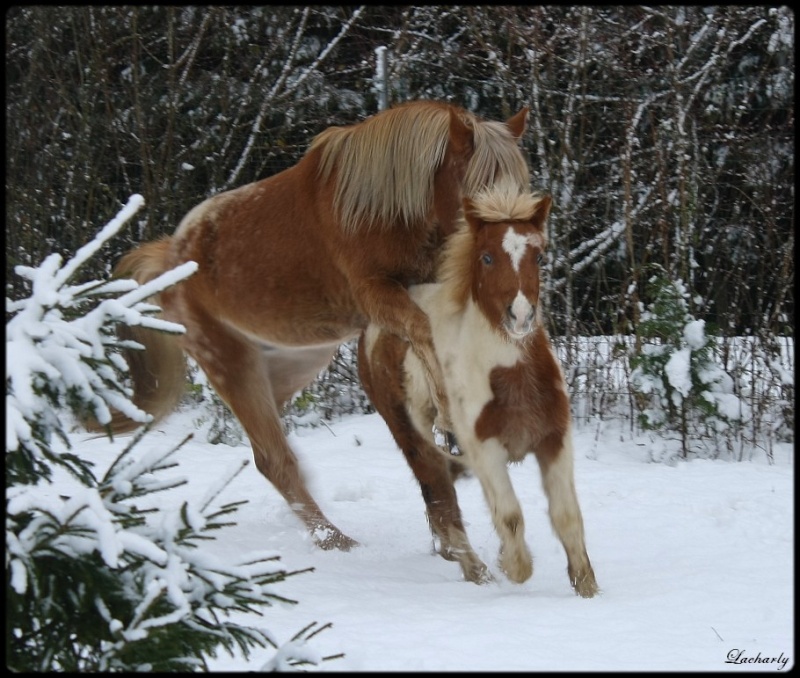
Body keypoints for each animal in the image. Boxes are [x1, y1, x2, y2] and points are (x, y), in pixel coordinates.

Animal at [98, 103, 532, 556]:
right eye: (477, 195)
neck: (389, 211)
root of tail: (172, 255)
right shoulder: (378, 295)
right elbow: (424, 331)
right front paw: (449, 416)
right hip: (230, 363)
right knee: (273, 459)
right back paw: (336, 541)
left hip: (290, 364)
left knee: (270, 447)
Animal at [360, 182, 596, 600]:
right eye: (486, 257)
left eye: (539, 255)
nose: (520, 316)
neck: (510, 377)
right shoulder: (485, 450)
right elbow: (510, 515)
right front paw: (514, 567)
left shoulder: (555, 440)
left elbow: (567, 516)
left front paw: (587, 587)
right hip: (416, 442)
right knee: (443, 507)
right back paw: (478, 573)